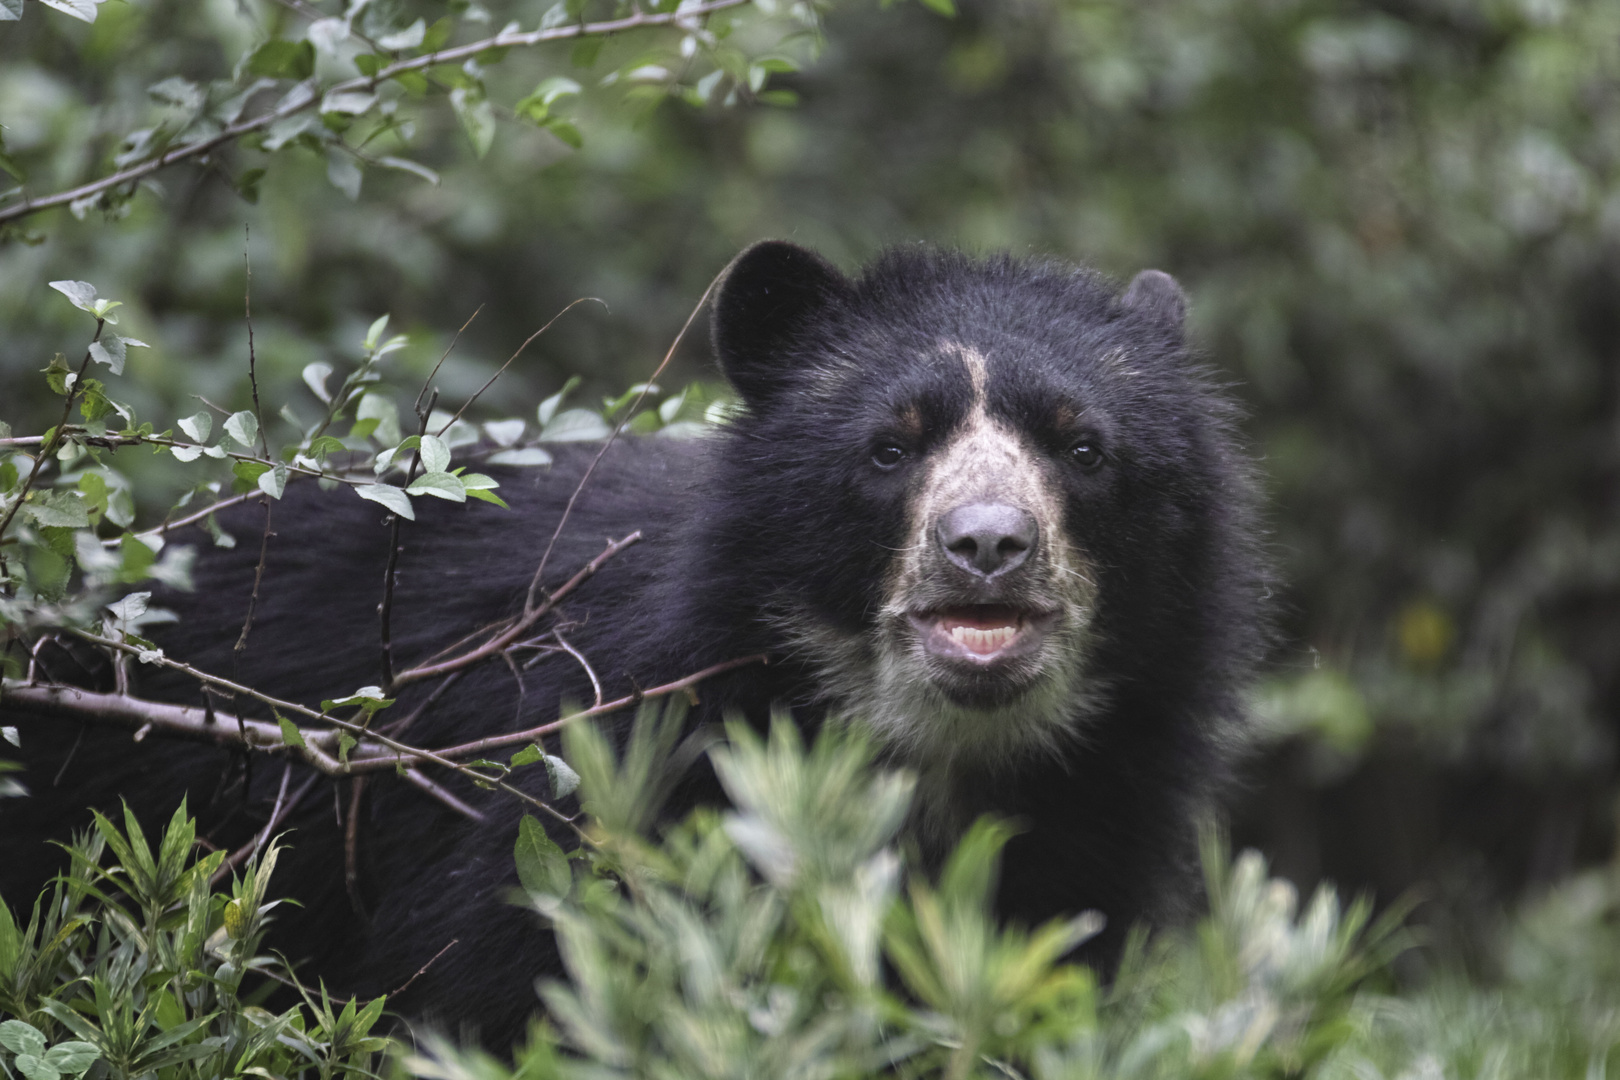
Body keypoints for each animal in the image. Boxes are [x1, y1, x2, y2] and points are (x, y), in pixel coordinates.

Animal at [0, 242, 1263, 1049]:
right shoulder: (618, 781)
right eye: (891, 447)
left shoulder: (1087, 825)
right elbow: (511, 985)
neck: (931, 751)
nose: (988, 546)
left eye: (1083, 448)